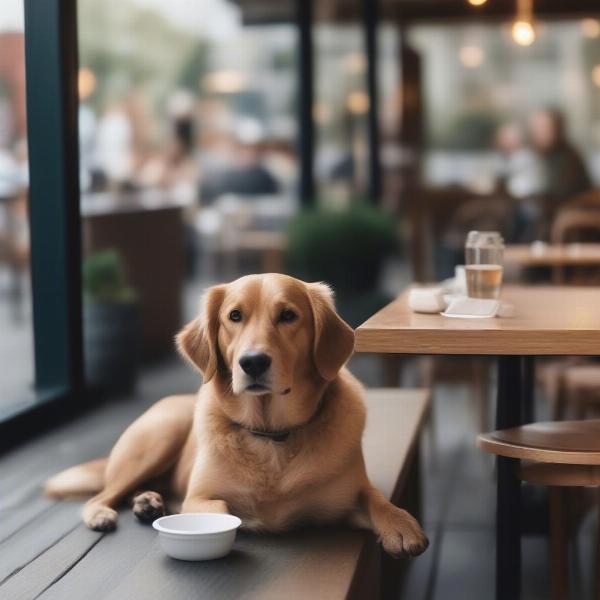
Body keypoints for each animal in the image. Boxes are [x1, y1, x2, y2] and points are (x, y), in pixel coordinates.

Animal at [47, 274, 428, 556]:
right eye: (234, 316)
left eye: (288, 315)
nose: (253, 362)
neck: (271, 433)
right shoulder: (200, 497)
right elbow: (218, 511)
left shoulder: (351, 494)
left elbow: (376, 497)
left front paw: (401, 524)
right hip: (159, 436)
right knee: (104, 494)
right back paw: (107, 511)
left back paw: (147, 501)